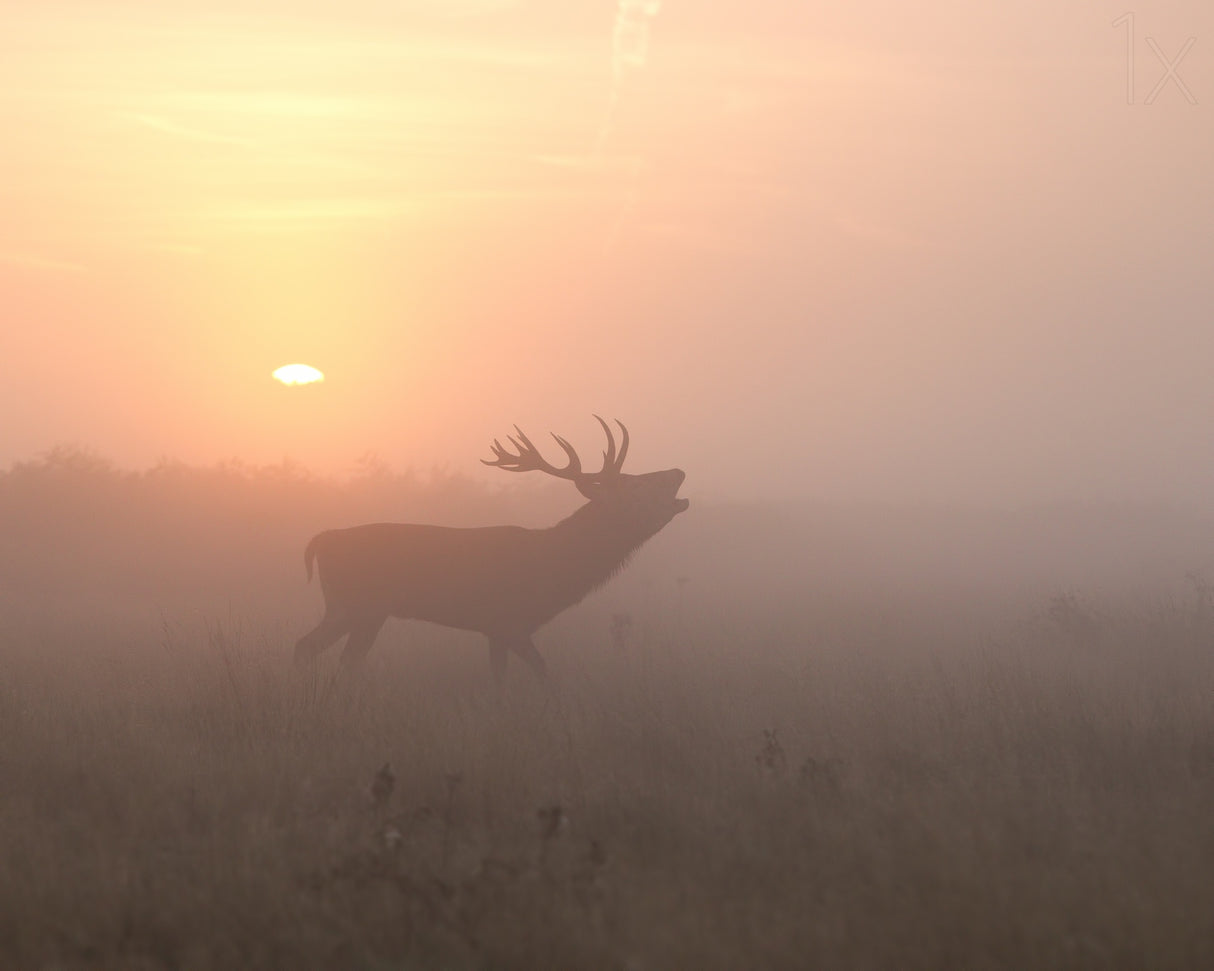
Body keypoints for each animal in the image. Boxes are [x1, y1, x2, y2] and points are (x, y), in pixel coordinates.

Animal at [294, 417, 688, 682]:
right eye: (634, 487)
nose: (679, 471)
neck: (552, 570)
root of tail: (321, 539)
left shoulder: (495, 629)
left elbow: (499, 677)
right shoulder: (508, 619)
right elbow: (543, 673)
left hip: (356, 609)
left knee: (324, 652)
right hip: (358, 604)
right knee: (318, 651)